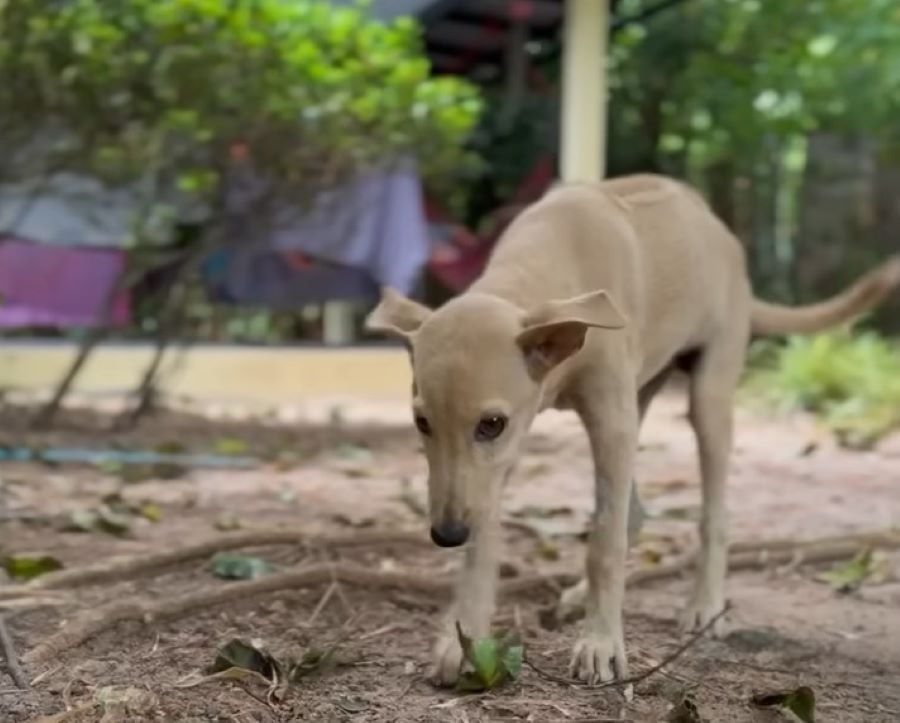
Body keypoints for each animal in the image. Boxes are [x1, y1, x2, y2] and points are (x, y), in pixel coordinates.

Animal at [364, 174, 900, 684]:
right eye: (421, 422)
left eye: (490, 424)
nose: (446, 534)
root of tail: (722, 235)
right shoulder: (507, 455)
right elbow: (488, 546)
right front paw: (463, 638)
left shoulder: (597, 423)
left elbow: (605, 542)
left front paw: (600, 642)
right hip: (641, 398)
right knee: (633, 510)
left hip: (706, 398)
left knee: (710, 515)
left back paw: (704, 605)